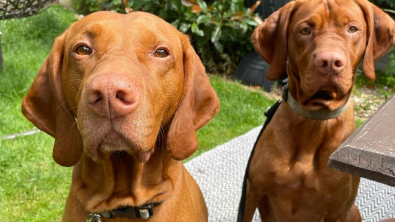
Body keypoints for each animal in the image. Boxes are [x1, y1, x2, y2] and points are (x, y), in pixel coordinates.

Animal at [244, 0, 395, 221]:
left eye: (352, 29)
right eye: (305, 30)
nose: (330, 61)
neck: (315, 119)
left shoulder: (336, 211)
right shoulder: (252, 192)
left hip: (352, 211)